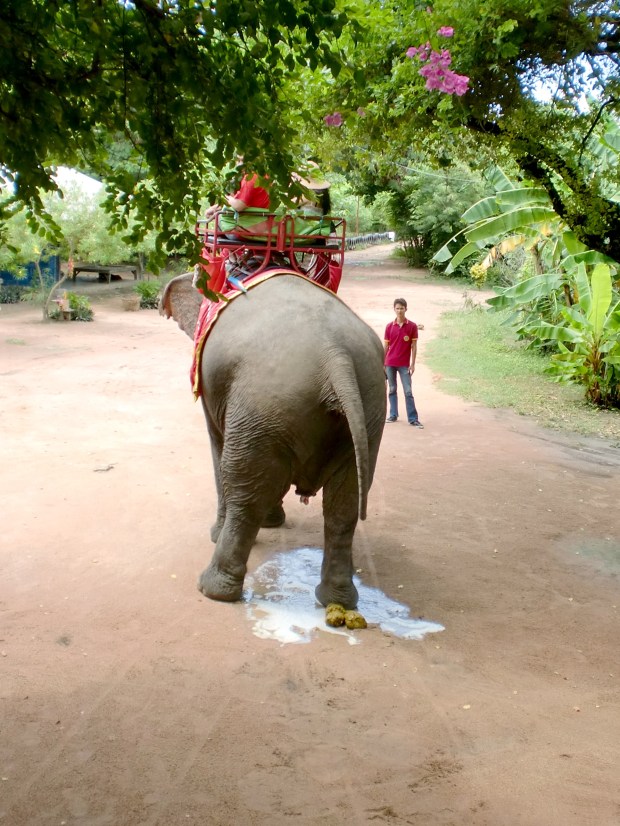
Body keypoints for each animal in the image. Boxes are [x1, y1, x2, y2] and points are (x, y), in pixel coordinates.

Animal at [160, 271, 386, 609]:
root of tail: (335, 355)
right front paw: (274, 522)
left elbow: (218, 447)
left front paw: (218, 532)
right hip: (368, 409)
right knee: (344, 504)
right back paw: (338, 601)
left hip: (261, 404)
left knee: (244, 492)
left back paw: (212, 590)